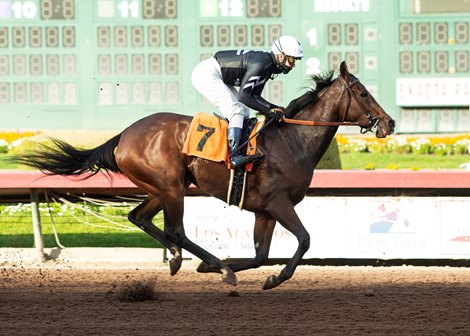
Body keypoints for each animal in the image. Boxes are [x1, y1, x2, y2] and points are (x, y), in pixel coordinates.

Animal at [19, 61, 392, 290]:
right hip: (171, 187)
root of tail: (123, 135)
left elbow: (260, 256)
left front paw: (222, 268)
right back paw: (211, 264)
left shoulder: (264, 211)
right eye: (362, 93)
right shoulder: (279, 203)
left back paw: (179, 259)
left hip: (163, 187)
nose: (389, 123)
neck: (293, 139)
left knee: (139, 217)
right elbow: (304, 240)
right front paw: (271, 277)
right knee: (176, 230)